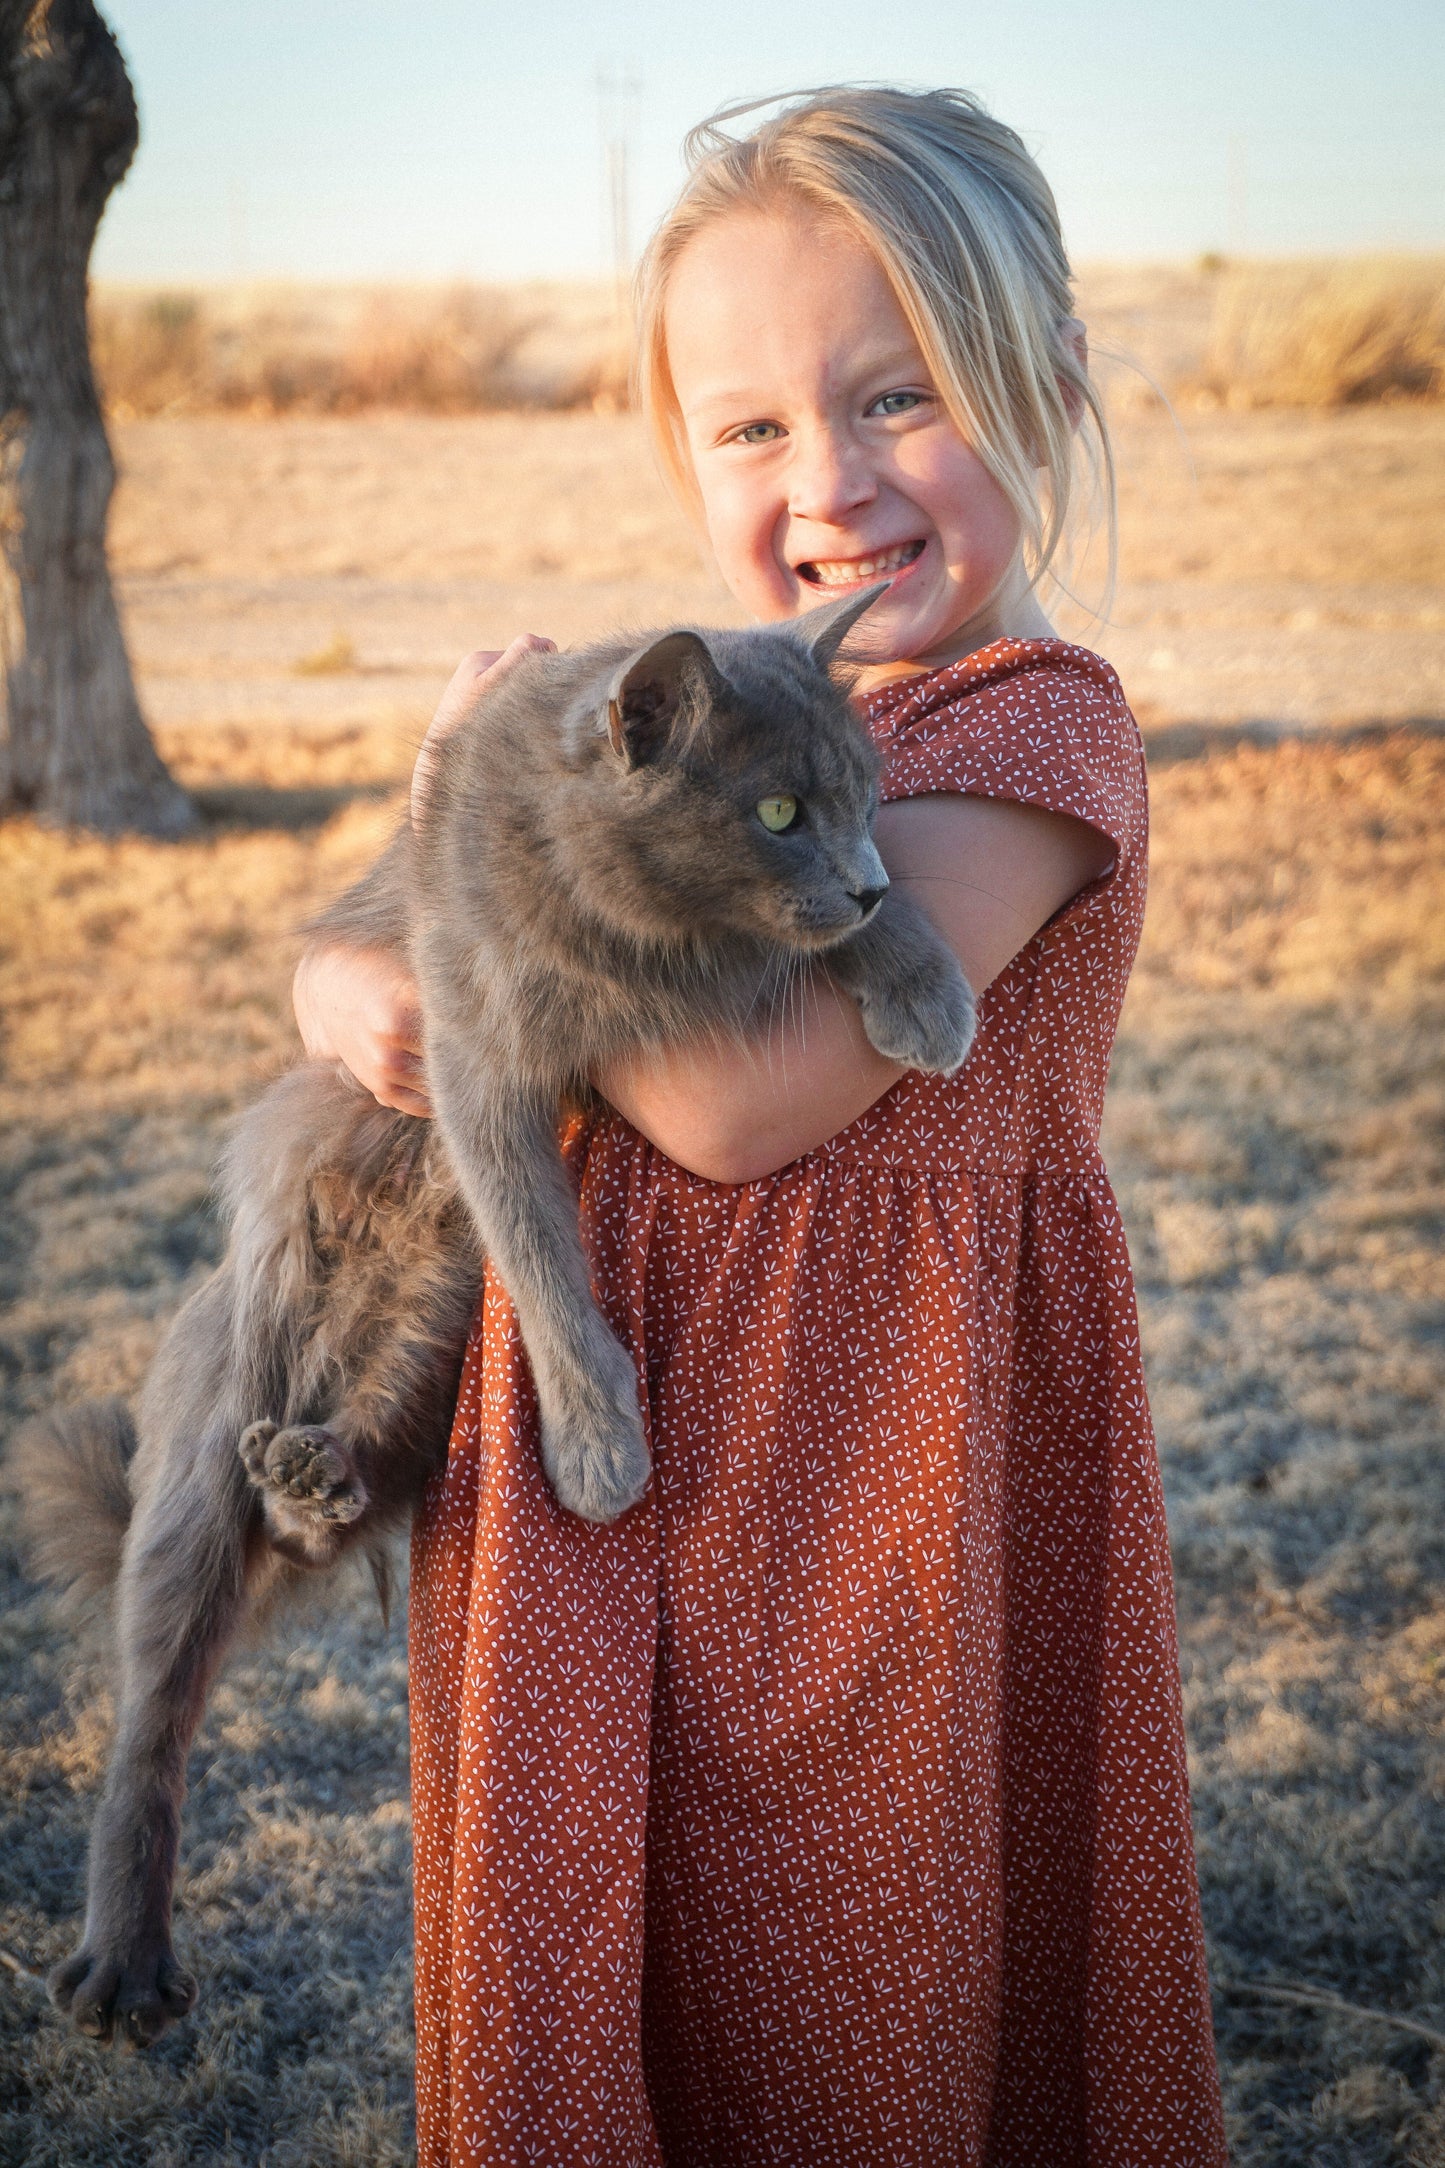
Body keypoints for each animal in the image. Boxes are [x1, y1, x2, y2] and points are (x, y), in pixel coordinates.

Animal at [11, 581, 979, 2046]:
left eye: (867, 799)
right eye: (774, 811)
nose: (868, 869)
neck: (650, 933)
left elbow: (851, 935)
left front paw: (925, 987)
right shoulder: (477, 1056)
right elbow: (548, 1264)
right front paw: (598, 1452)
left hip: (428, 1343)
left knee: (350, 1473)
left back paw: (315, 1479)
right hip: (197, 1457)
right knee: (150, 1736)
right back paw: (121, 1967)